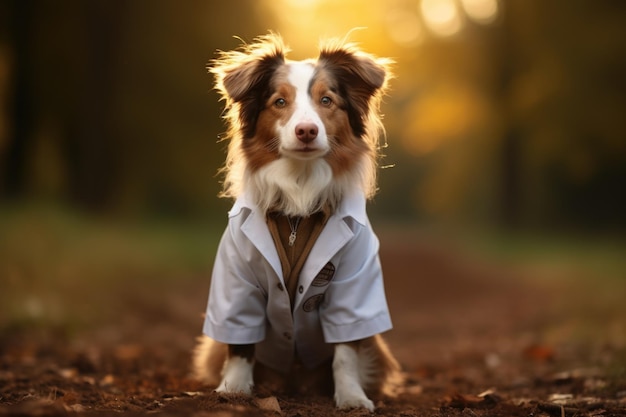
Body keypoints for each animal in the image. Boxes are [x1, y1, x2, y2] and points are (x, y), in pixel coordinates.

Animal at [193, 31, 402, 410]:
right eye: (279, 101)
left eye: (326, 100)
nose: (306, 130)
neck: (299, 194)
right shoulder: (235, 280)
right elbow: (239, 343)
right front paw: (233, 388)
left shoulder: (353, 285)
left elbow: (345, 351)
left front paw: (351, 396)